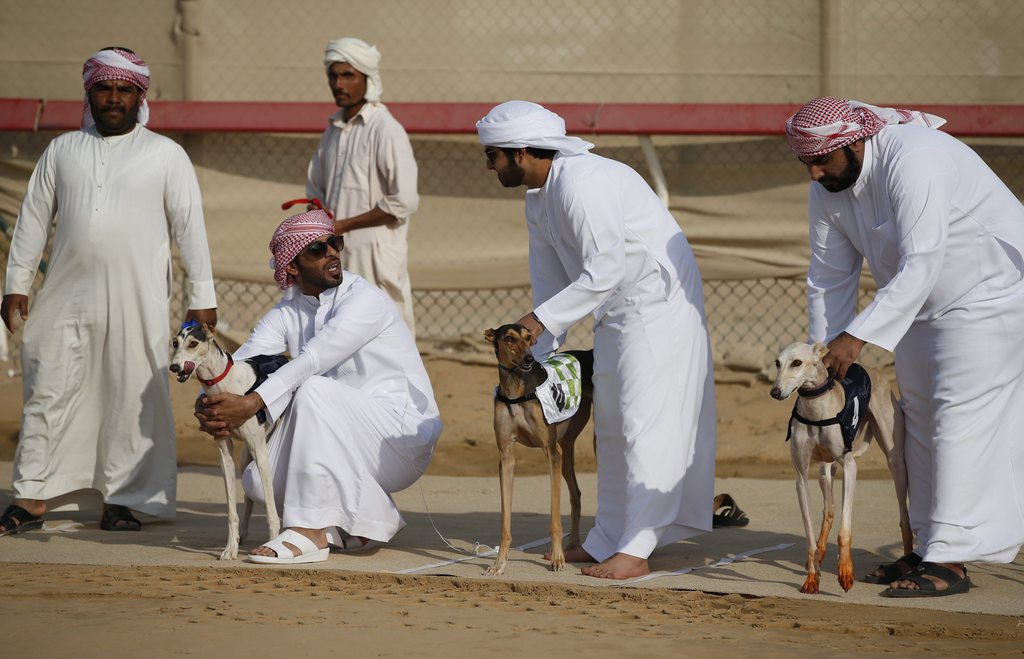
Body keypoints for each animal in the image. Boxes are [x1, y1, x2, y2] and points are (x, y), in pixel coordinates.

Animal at [168, 321, 282, 556]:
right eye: (175, 343)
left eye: (193, 343)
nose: (174, 367)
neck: (226, 384)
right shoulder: (225, 453)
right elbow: (231, 511)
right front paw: (231, 548)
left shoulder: (261, 455)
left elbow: (270, 509)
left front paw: (272, 543)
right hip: (245, 457)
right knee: (248, 497)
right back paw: (242, 535)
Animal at [483, 325, 598, 577]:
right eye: (509, 338)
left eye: (529, 338)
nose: (529, 359)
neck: (516, 390)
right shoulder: (506, 456)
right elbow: (505, 522)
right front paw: (499, 563)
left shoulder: (551, 452)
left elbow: (554, 518)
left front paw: (556, 560)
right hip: (566, 449)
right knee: (576, 495)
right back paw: (573, 546)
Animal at [770, 341, 913, 593]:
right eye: (777, 363)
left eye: (797, 362)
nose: (775, 392)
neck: (815, 409)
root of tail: (872, 369)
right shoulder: (801, 478)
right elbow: (809, 535)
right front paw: (812, 577)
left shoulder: (850, 467)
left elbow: (844, 530)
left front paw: (845, 571)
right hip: (824, 471)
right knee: (830, 509)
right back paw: (820, 553)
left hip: (895, 461)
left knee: (904, 520)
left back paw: (905, 563)